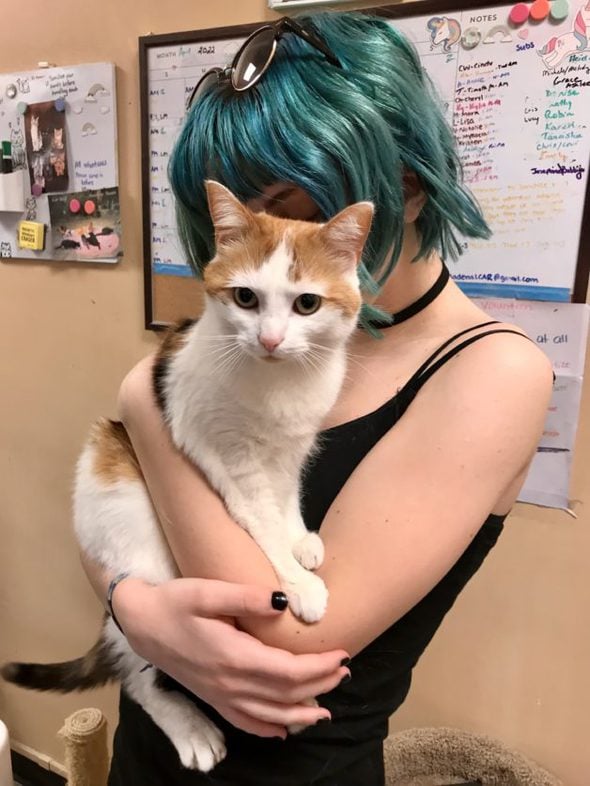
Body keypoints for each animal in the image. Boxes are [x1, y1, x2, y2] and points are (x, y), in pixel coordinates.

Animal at [1, 179, 374, 772]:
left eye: (307, 303)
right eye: (245, 298)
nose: (270, 341)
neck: (278, 387)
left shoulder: (292, 450)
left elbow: (286, 497)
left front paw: (301, 541)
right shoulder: (224, 453)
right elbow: (261, 519)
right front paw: (296, 581)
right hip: (144, 547)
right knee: (144, 668)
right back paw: (195, 728)